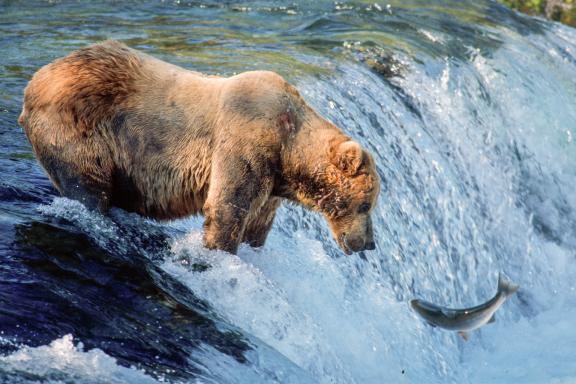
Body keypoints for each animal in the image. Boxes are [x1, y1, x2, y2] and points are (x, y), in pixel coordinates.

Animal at [18, 40, 380, 255]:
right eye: (366, 205)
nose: (369, 244)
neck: (289, 153)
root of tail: (37, 79)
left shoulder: (272, 182)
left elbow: (258, 223)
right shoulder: (245, 140)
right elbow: (227, 206)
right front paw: (218, 253)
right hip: (77, 129)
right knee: (87, 187)